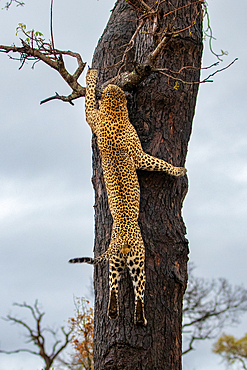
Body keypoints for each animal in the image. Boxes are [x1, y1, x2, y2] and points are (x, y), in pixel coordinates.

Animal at [68, 68, 186, 326]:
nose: (114, 84)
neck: (114, 114)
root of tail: (121, 238)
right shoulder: (139, 155)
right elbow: (158, 162)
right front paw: (178, 170)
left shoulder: (93, 118)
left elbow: (88, 103)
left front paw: (91, 77)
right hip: (138, 258)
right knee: (139, 289)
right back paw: (140, 319)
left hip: (115, 261)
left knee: (112, 285)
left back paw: (112, 312)